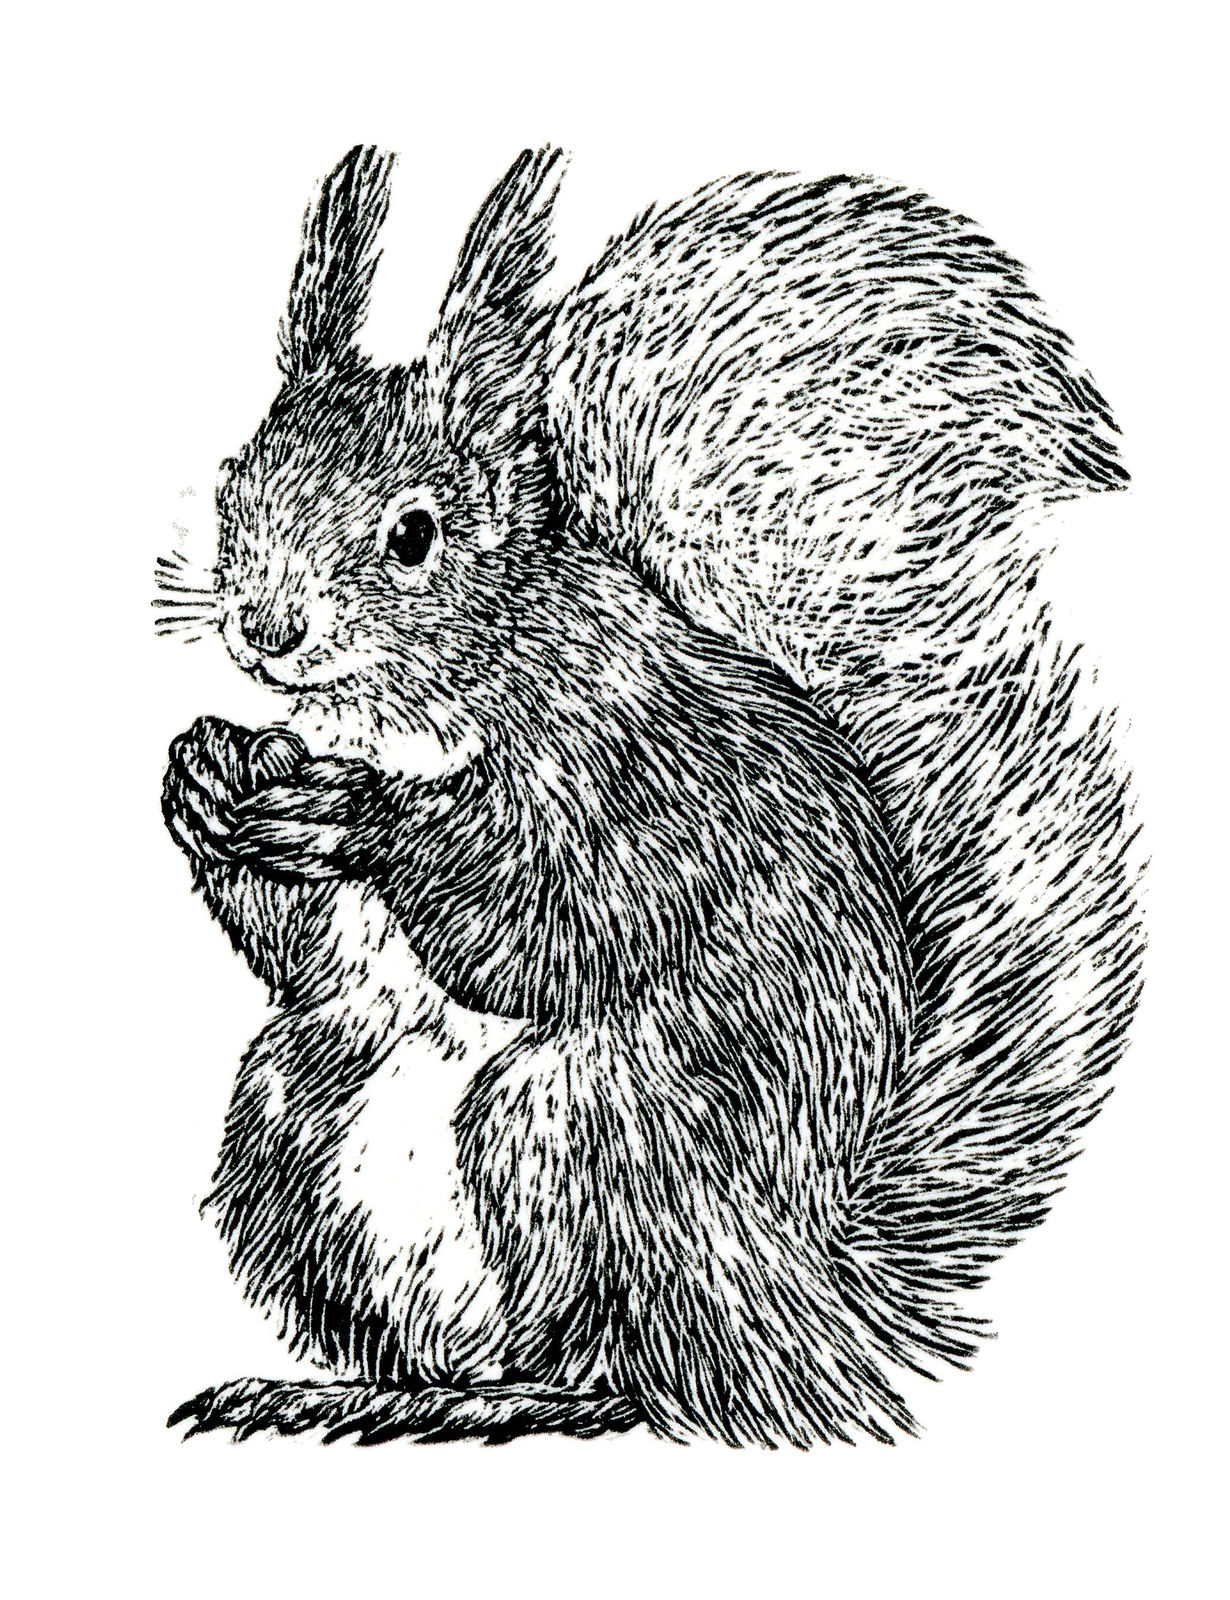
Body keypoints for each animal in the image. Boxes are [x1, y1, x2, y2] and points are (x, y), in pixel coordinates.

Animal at [160, 146, 1141, 1446]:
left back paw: (517, 1399)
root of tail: (813, 1298)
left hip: (583, 1128)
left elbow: (550, 919)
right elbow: (303, 948)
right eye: (236, 486)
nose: (266, 630)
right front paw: (202, 771)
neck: (413, 695)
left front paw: (361, 819)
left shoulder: (621, 761)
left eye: (415, 534)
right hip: (291, 1114)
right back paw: (347, 1388)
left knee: (623, 1363)